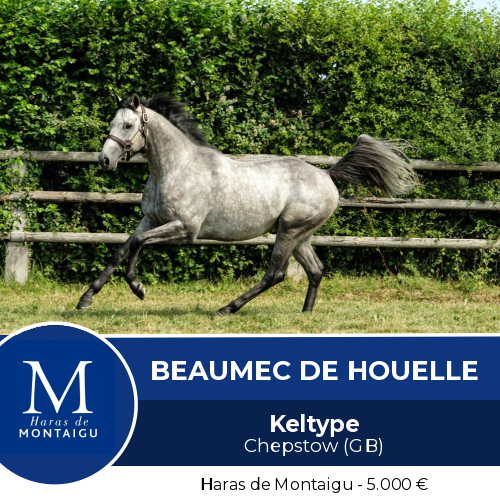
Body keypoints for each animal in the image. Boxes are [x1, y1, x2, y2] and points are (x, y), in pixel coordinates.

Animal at [76, 93, 418, 315]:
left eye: (128, 126)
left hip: (289, 231)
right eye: (112, 122)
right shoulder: (151, 220)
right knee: (316, 270)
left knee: (275, 274)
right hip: (300, 235)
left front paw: (138, 288)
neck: (176, 167)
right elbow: (122, 249)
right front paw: (86, 299)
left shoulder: (185, 229)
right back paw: (305, 314)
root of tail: (327, 174)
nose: (104, 160)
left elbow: (137, 244)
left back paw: (227, 308)